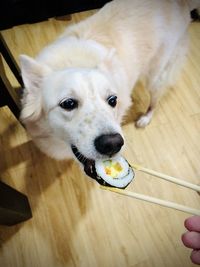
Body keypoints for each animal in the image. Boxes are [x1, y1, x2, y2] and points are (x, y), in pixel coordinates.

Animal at [19, 0, 199, 177]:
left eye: (112, 100)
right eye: (68, 103)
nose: (113, 144)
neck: (75, 62)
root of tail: (180, 3)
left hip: (155, 75)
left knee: (155, 99)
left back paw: (145, 118)